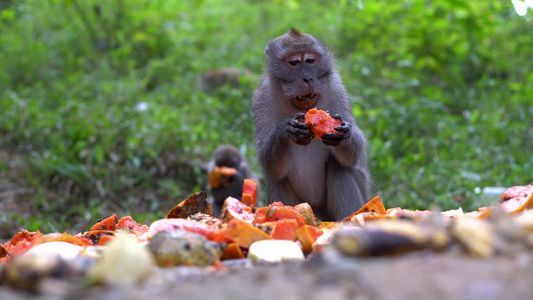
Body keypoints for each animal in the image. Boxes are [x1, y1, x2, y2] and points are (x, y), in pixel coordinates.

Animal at [252, 29, 370, 221]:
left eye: (310, 60)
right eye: (294, 62)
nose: (307, 78)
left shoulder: (337, 88)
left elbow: (353, 157)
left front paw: (345, 135)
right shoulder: (261, 97)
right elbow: (268, 164)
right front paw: (284, 131)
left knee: (338, 166)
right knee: (278, 179)